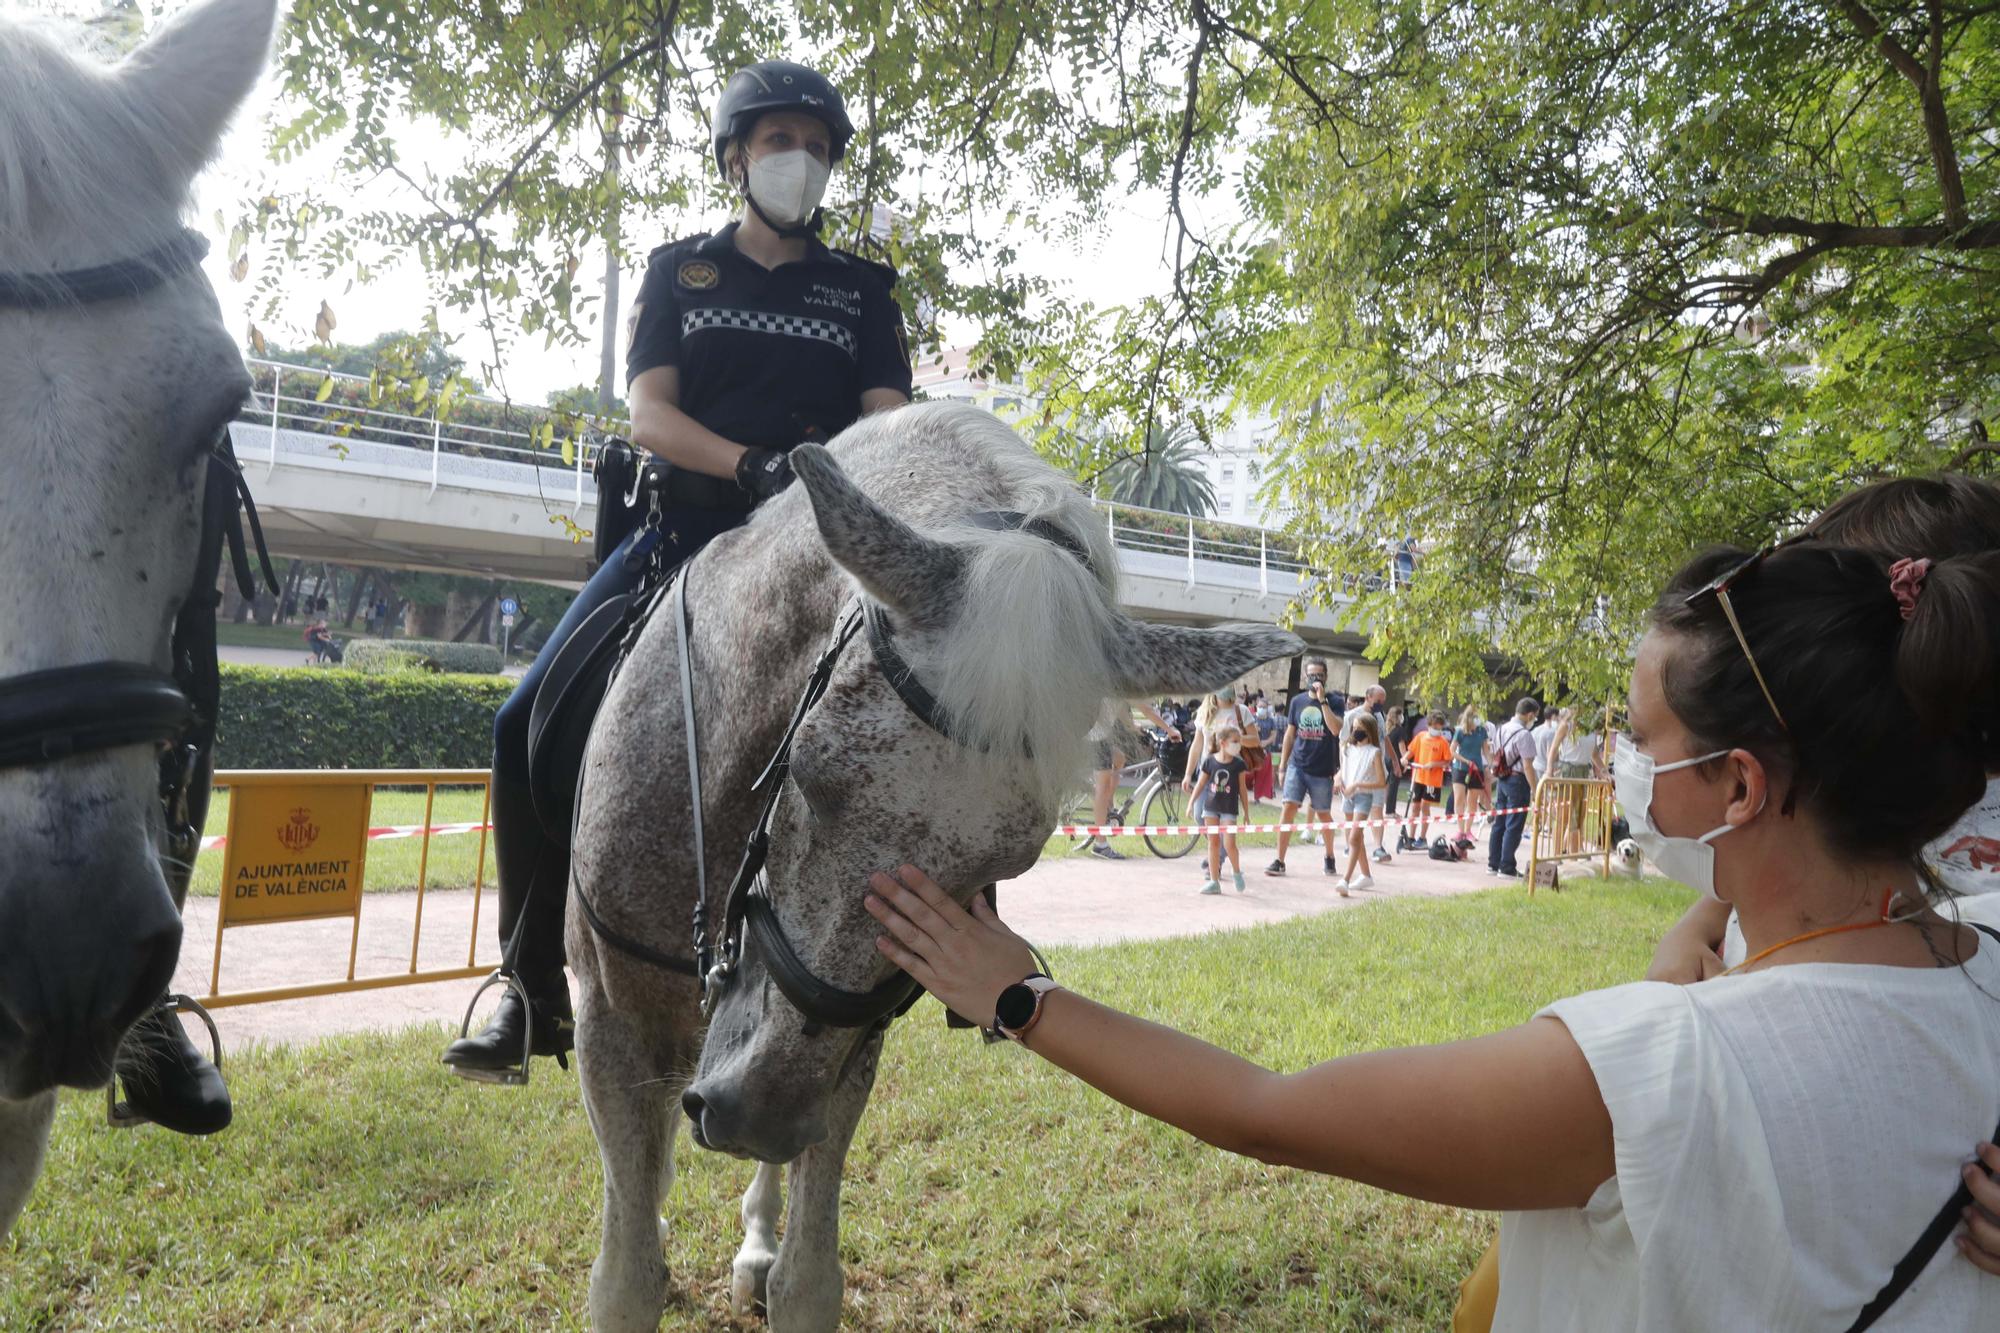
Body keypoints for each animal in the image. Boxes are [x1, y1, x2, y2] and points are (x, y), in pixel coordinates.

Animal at [572, 400, 1304, 1320]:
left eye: (1011, 861)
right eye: (807, 766)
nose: (757, 1111)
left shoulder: (843, 1052)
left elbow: (810, 1279)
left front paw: (775, 1249)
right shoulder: (610, 1022)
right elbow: (626, 1274)